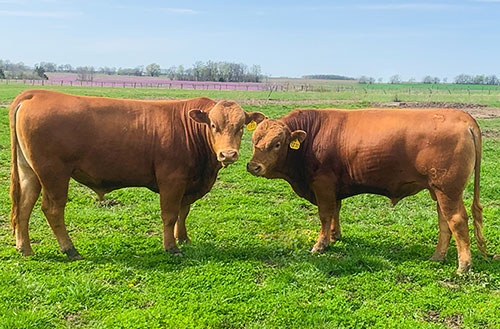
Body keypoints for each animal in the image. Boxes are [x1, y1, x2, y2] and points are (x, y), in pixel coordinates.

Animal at [8, 89, 266, 258]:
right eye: (213, 125)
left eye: (241, 127)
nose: (228, 154)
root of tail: (36, 94)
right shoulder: (172, 180)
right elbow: (170, 214)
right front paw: (172, 247)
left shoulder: (189, 183)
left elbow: (184, 212)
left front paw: (183, 238)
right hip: (54, 173)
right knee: (52, 209)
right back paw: (70, 249)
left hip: (30, 171)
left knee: (24, 205)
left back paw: (25, 248)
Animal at [246, 107, 488, 272]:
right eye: (253, 139)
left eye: (277, 144)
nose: (253, 166)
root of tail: (464, 117)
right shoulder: (334, 187)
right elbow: (335, 211)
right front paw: (334, 236)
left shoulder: (323, 184)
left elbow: (324, 214)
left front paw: (321, 244)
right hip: (438, 190)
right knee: (444, 222)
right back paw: (438, 256)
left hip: (448, 190)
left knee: (457, 220)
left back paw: (464, 266)